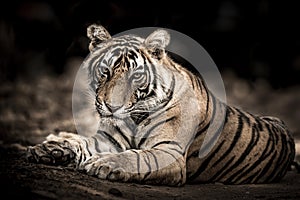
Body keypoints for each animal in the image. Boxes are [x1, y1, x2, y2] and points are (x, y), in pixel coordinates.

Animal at [27, 23, 296, 186]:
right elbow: (81, 143)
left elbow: (134, 157)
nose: (112, 107)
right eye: (105, 71)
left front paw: (103, 163)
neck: (134, 118)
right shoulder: (108, 139)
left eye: (136, 76)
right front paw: (48, 149)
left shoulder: (168, 152)